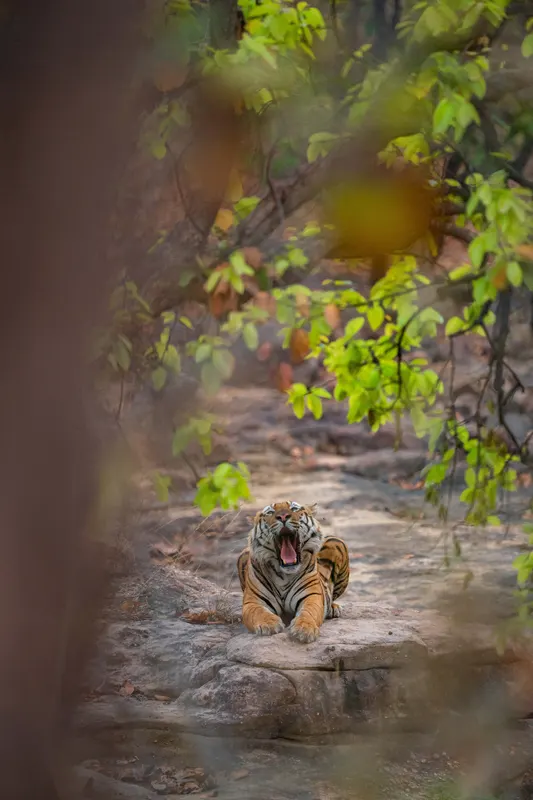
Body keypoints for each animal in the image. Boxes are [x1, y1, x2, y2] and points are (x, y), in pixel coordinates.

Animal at [237, 501, 350, 643]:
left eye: (294, 509)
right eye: (270, 512)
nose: (283, 517)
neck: (284, 575)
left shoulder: (312, 596)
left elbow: (308, 612)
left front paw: (304, 629)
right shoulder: (252, 602)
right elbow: (258, 612)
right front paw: (269, 624)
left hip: (337, 542)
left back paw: (334, 609)